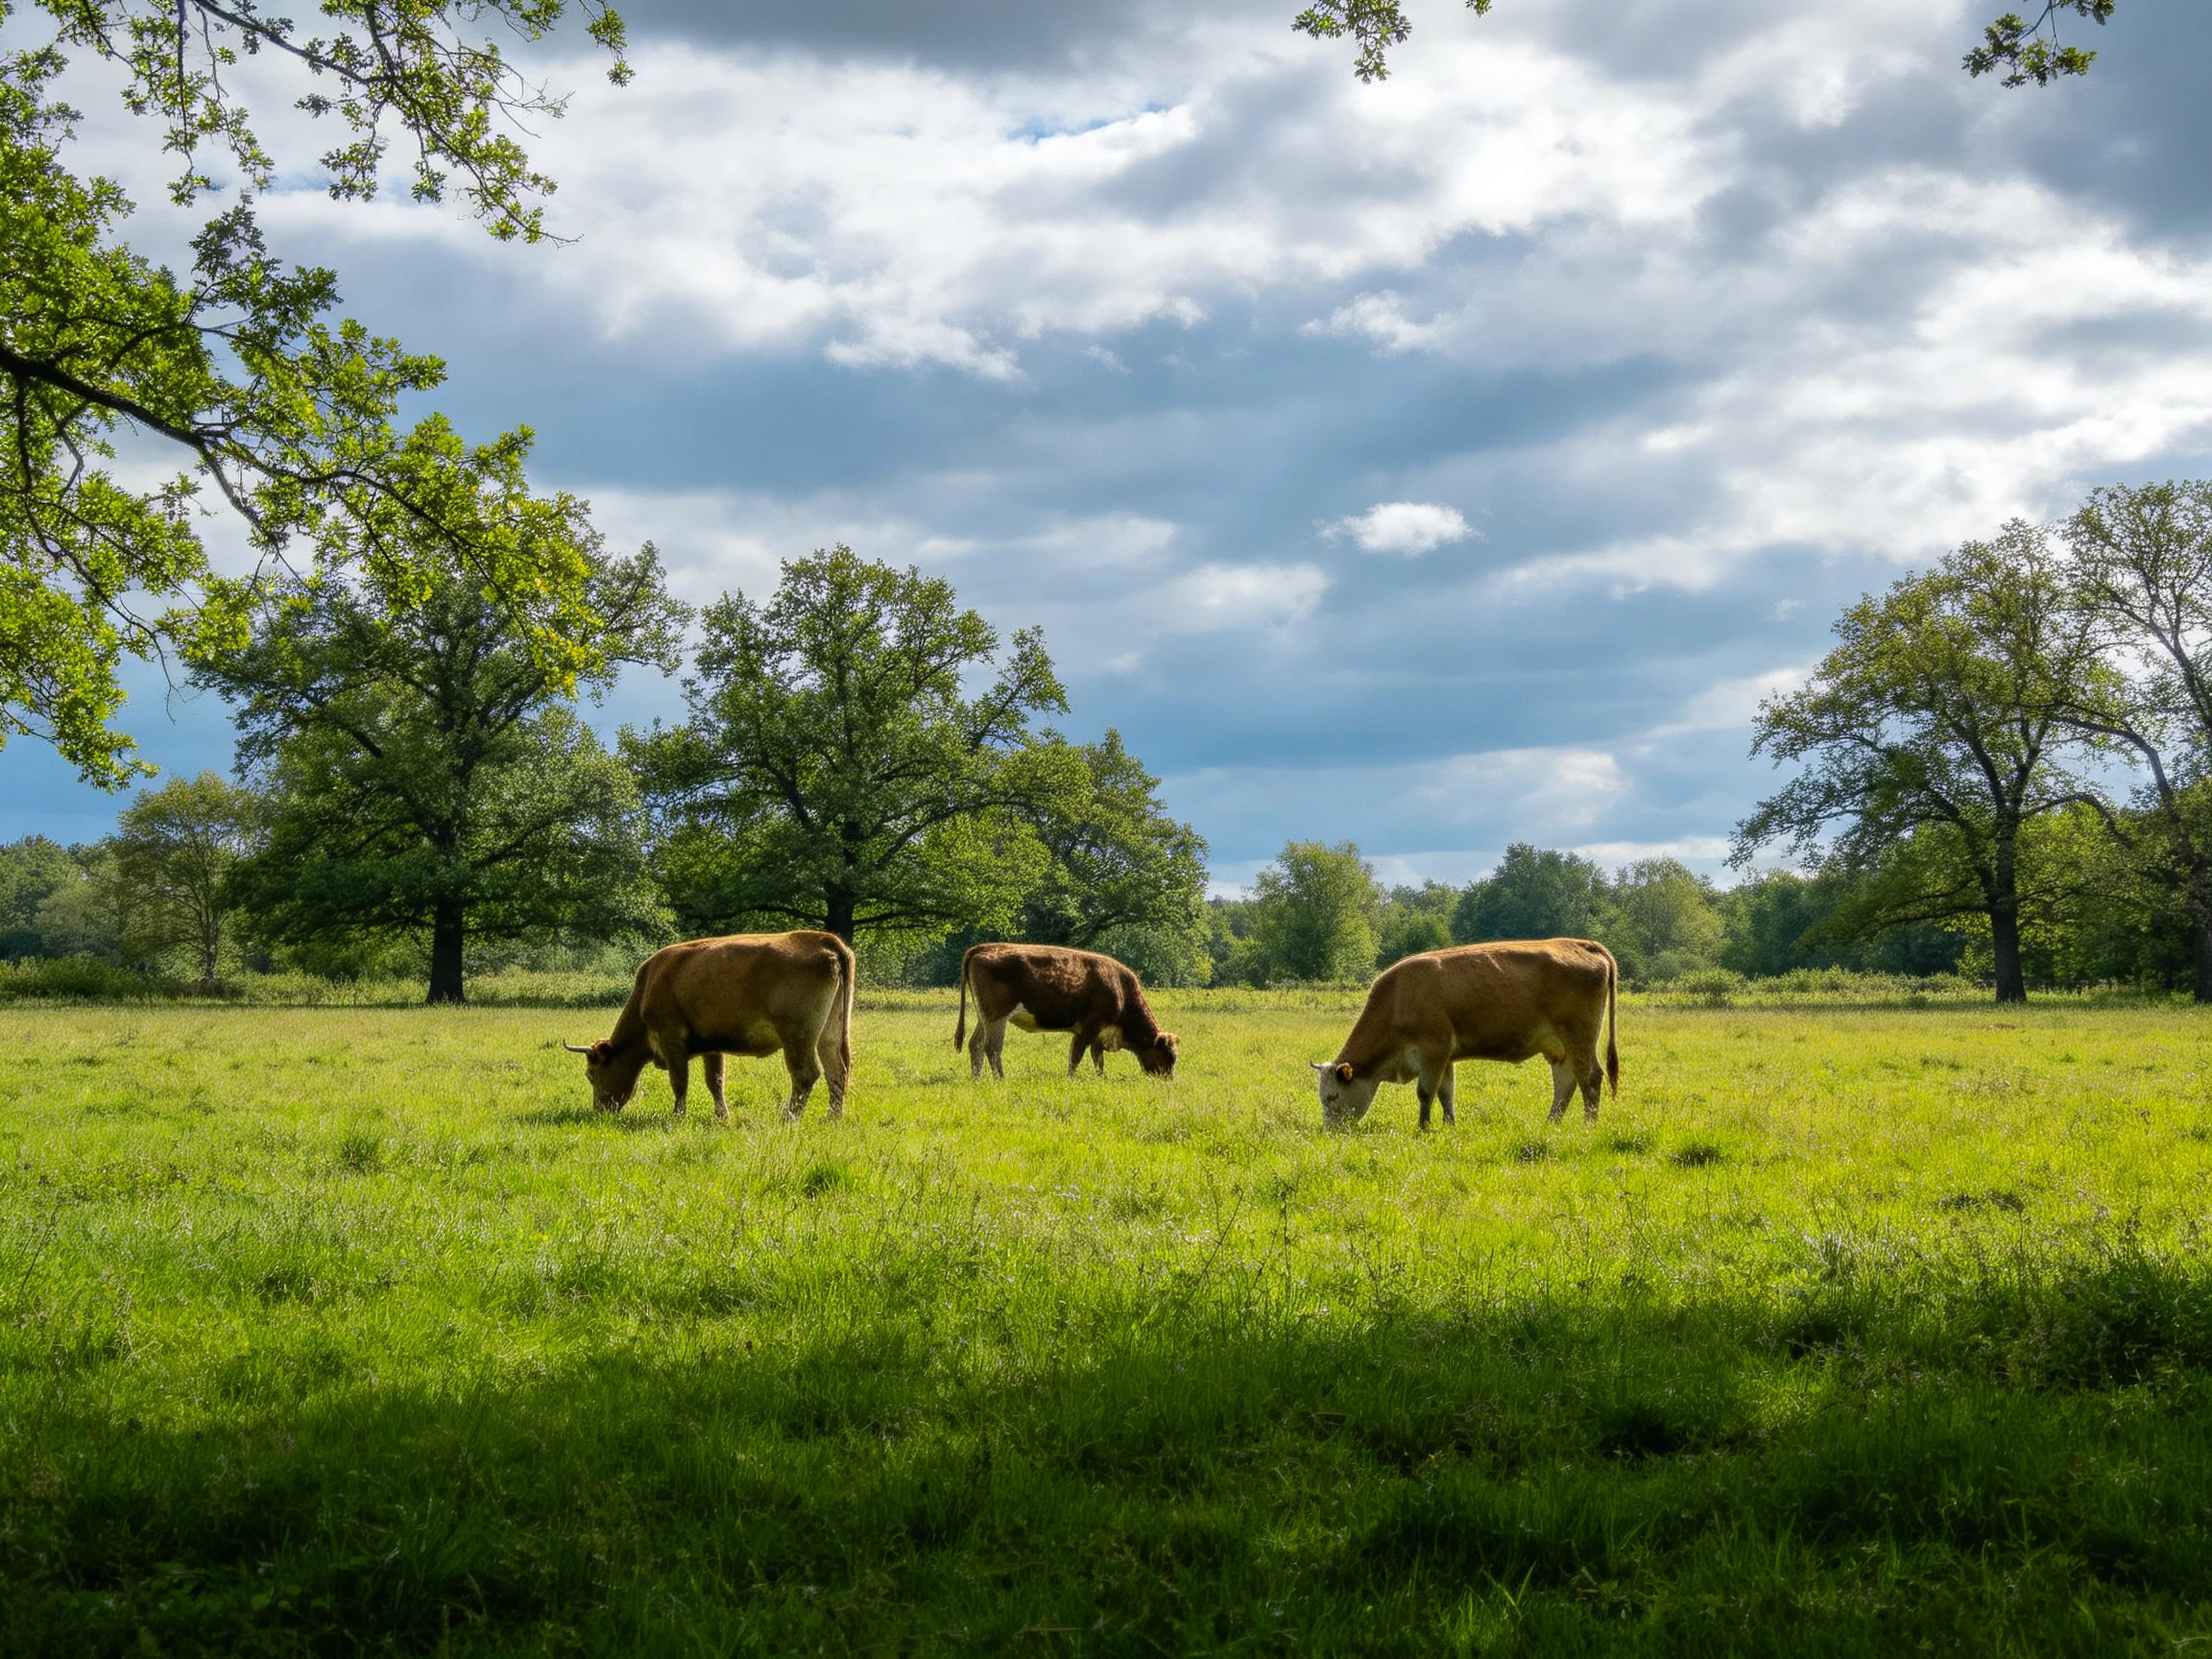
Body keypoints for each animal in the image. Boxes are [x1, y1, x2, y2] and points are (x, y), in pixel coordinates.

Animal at [565, 931, 855, 1120]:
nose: (599, 1110)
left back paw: (788, 1118)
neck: (649, 986)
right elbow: (715, 1081)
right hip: (829, 1035)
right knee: (836, 1072)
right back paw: (832, 1118)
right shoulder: (712, 1046)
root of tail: (822, 940)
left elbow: (679, 1081)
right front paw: (722, 1117)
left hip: (798, 1038)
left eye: (591, 1074)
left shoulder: (672, 1040)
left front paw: (678, 1116)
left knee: (805, 1074)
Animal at [953, 942, 1179, 1080]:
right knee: (991, 1047)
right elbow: (1076, 1056)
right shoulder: (1089, 1028)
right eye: (1169, 1057)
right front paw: (1071, 1078)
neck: (1121, 991)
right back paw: (1001, 1078)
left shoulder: (1095, 1034)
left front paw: (1101, 1078)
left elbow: (1097, 1059)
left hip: (985, 1017)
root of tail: (985, 947)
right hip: (997, 1017)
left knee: (975, 1044)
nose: (1169, 1079)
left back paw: (977, 1077)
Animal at [1313, 939, 1618, 1129]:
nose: (1330, 1132)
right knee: (1566, 1083)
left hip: (1579, 1038)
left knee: (1590, 1079)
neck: (1399, 999)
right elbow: (1446, 1094)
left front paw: (1423, 1127)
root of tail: (1581, 944)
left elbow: (1425, 1092)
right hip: (1559, 1048)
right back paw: (1551, 1123)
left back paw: (1588, 1125)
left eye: (1332, 1097)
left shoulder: (1432, 1051)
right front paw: (1449, 1125)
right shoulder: (1445, 1057)